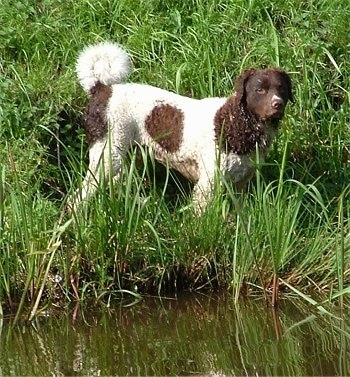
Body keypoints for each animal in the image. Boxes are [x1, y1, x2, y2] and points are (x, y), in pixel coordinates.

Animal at [70, 41, 292, 212]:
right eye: (260, 89)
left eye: (281, 88)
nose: (278, 104)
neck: (234, 122)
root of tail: (101, 89)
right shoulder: (208, 183)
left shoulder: (240, 183)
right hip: (106, 157)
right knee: (78, 197)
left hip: (125, 156)